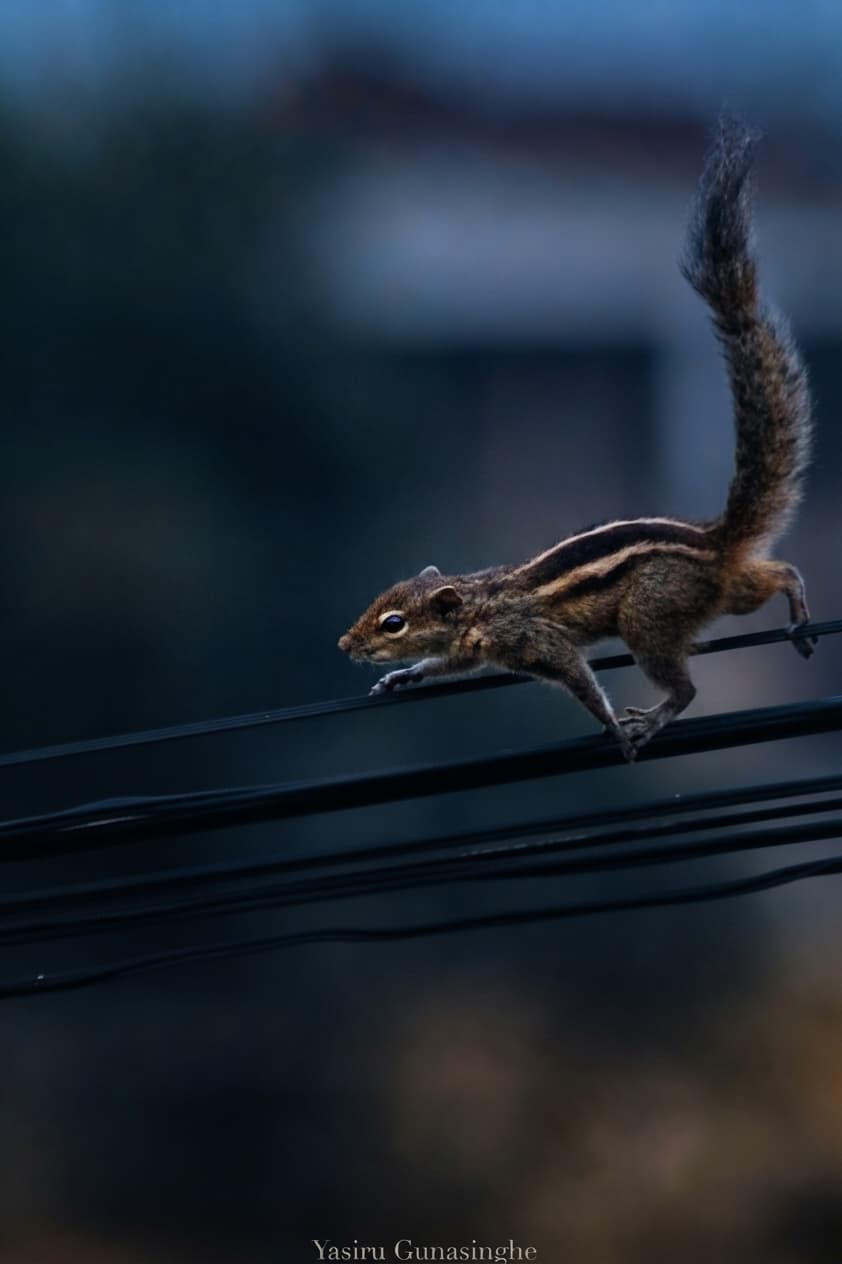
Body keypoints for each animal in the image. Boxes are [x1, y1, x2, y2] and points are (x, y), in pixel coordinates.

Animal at [338, 117, 815, 762]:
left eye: (394, 623)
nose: (346, 644)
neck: (481, 602)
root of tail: (717, 544)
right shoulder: (470, 650)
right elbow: (445, 666)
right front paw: (404, 675)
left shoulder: (532, 639)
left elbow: (578, 679)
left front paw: (611, 726)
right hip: (723, 592)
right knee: (775, 571)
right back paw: (796, 602)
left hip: (648, 617)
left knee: (686, 685)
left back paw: (655, 716)